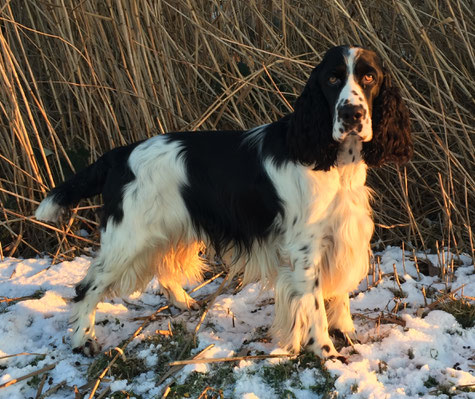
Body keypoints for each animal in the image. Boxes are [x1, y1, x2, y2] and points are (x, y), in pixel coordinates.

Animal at [35, 45, 412, 360]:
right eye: (333, 78)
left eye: (369, 77)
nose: (352, 114)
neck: (334, 160)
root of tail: (120, 154)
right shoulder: (305, 249)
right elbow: (314, 304)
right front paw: (326, 352)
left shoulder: (341, 234)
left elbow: (339, 295)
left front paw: (347, 333)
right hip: (129, 238)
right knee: (87, 286)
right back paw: (83, 340)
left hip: (165, 229)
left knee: (161, 267)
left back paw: (184, 302)